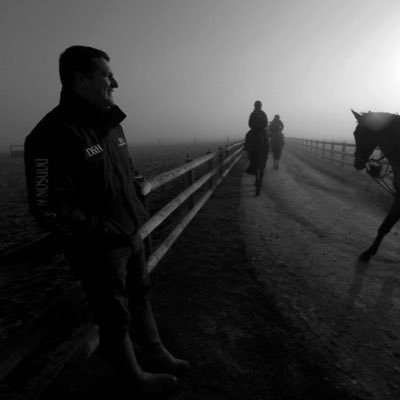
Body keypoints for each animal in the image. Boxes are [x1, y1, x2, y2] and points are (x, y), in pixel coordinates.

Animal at [352, 109, 400, 260]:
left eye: (364, 133)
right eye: (355, 133)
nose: (357, 163)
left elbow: (385, 226)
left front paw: (368, 253)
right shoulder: (398, 197)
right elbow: (384, 227)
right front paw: (370, 251)